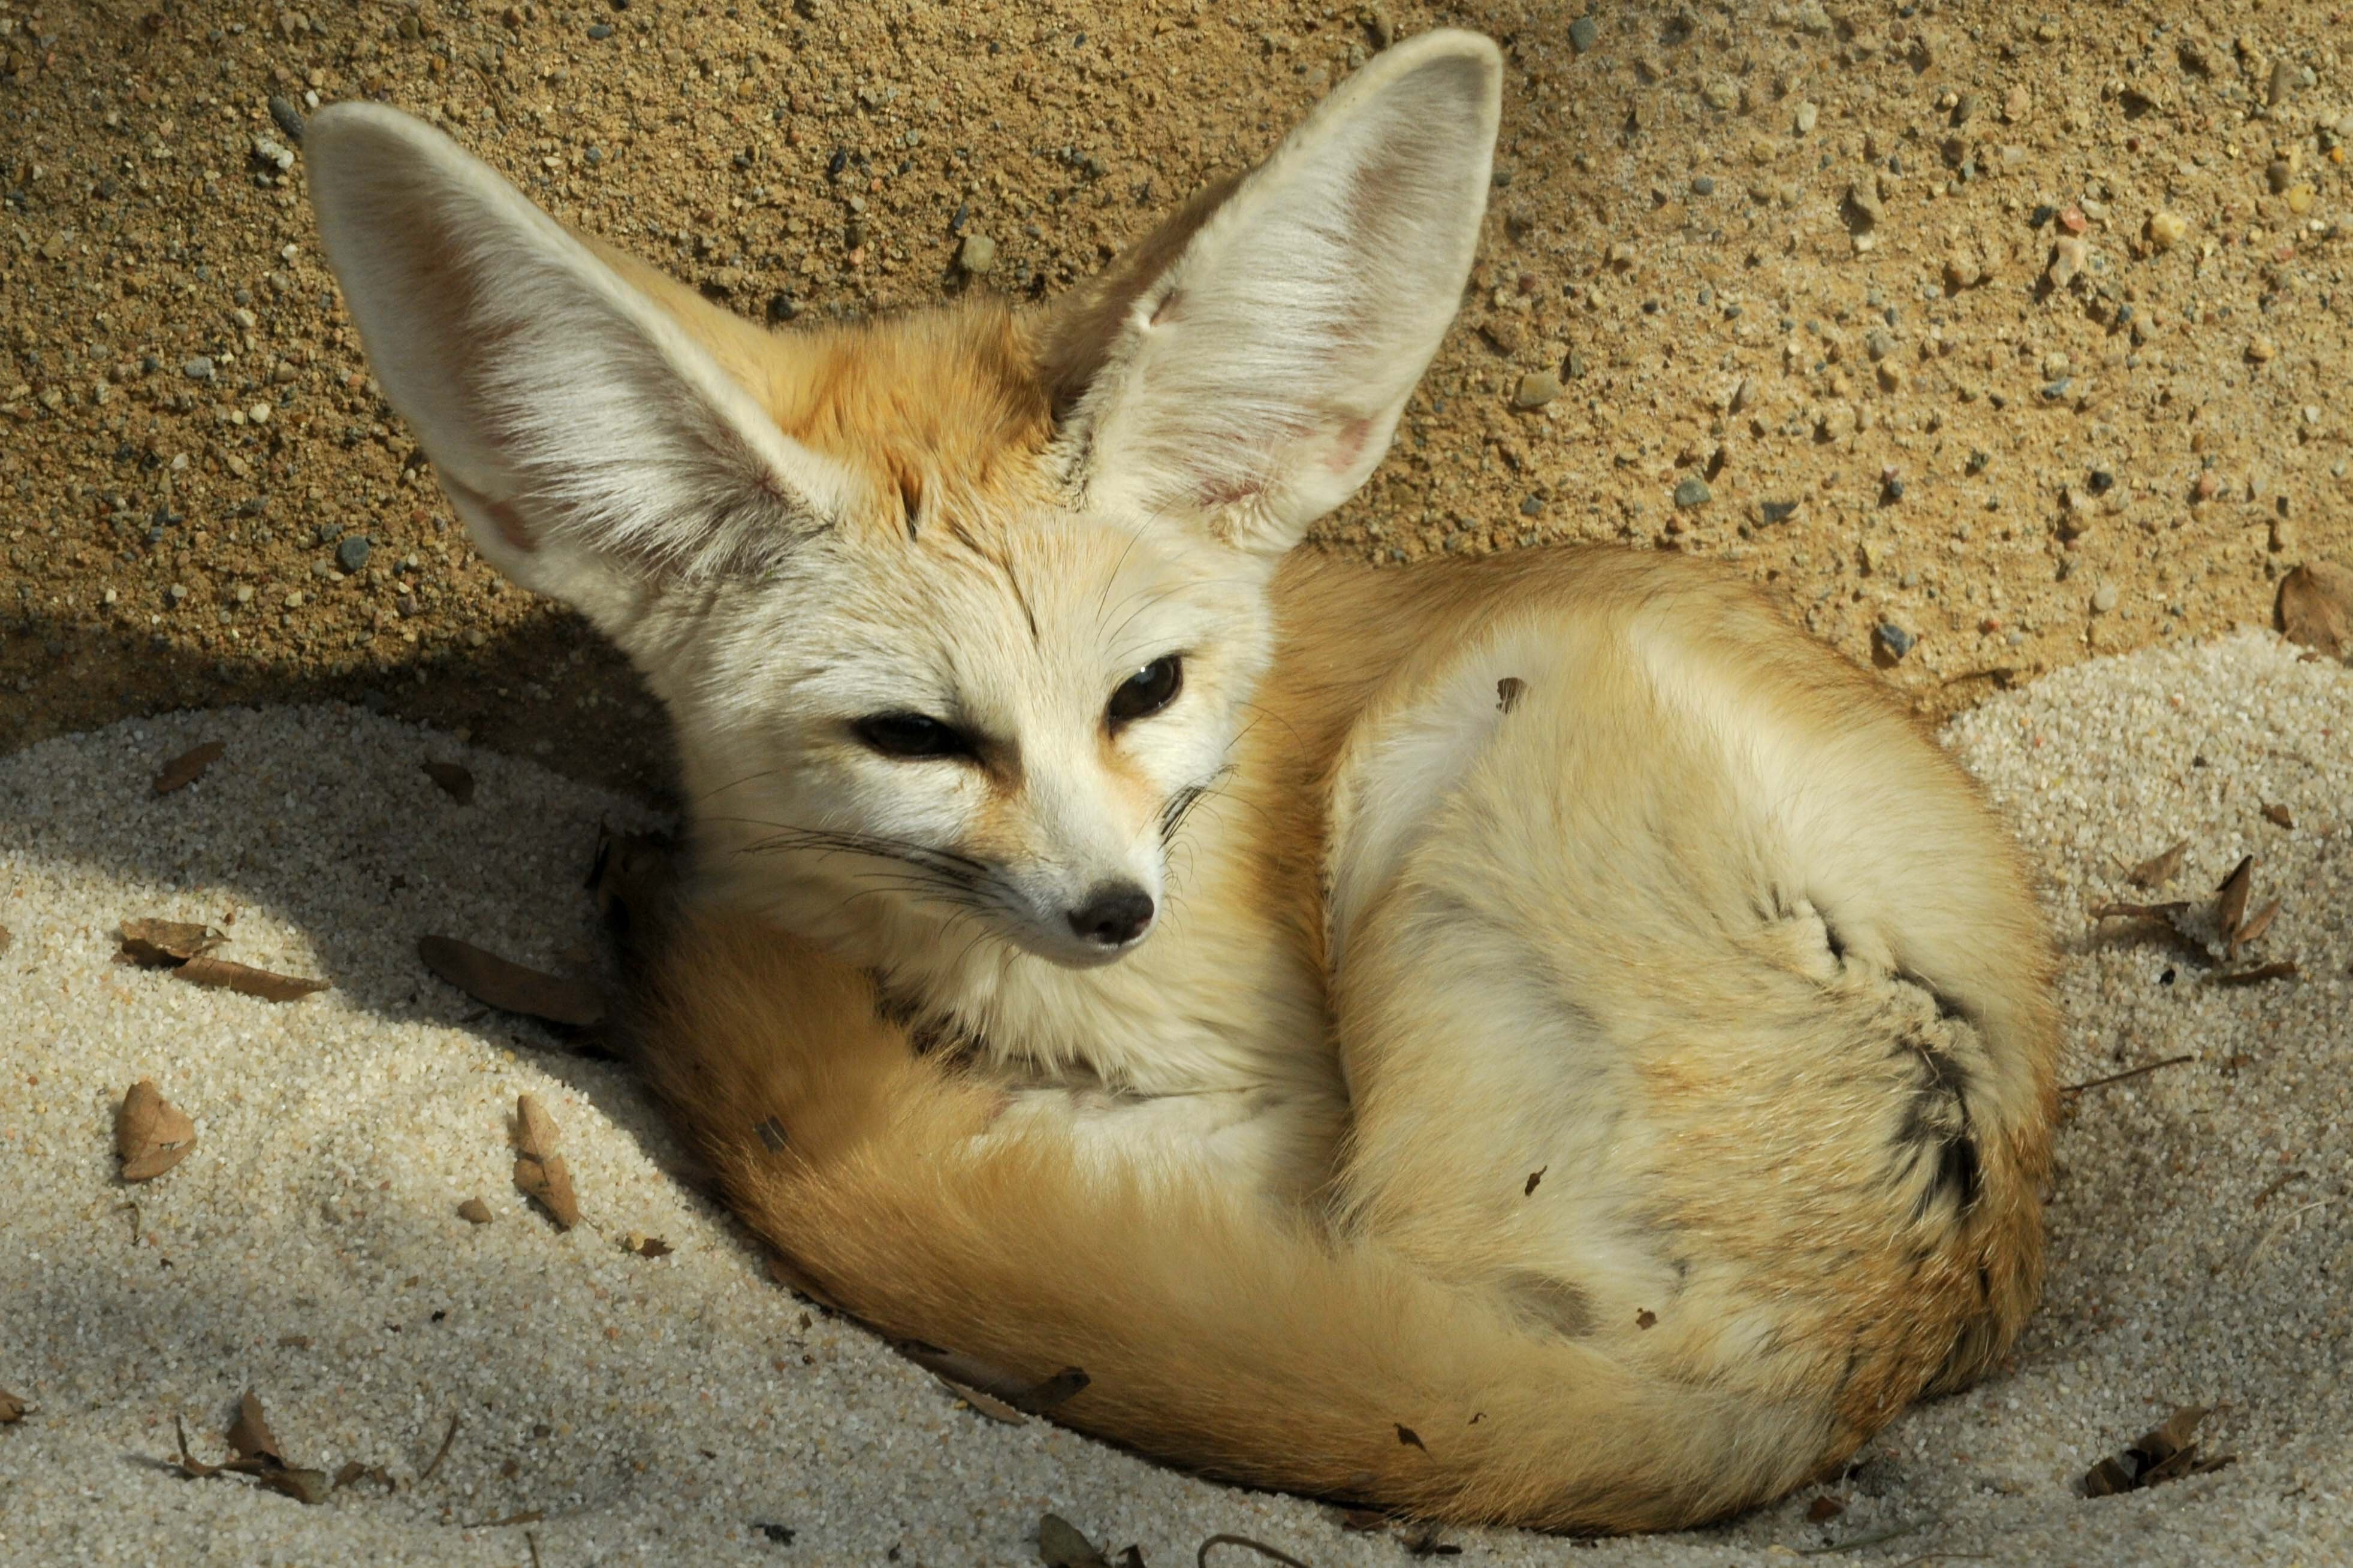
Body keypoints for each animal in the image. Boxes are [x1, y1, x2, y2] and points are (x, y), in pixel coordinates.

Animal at [318, 34, 2061, 1533]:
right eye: (914, 737)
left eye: (1143, 690)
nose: (1113, 911)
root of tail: (1851, 1368)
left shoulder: (1286, 1094)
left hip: (1466, 760)